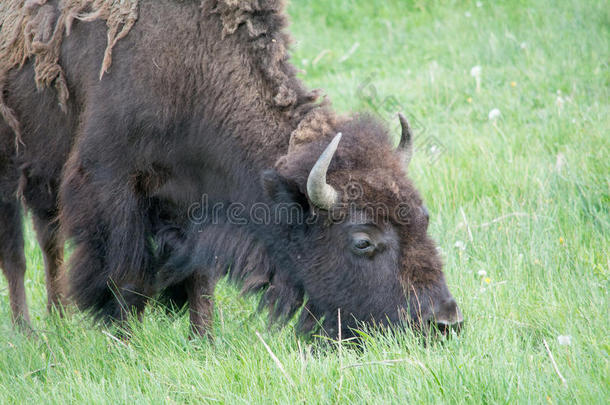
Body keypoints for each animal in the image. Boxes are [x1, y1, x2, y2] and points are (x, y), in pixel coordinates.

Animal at [0, 0, 460, 338]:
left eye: (423, 217)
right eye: (362, 241)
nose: (444, 322)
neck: (193, 68)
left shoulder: (196, 201)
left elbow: (199, 275)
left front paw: (202, 338)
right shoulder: (111, 184)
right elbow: (124, 272)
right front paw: (125, 339)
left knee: (48, 240)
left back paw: (58, 318)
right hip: (10, 171)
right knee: (17, 253)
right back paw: (27, 332)